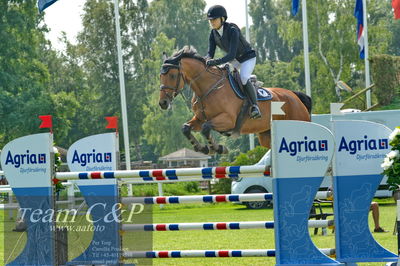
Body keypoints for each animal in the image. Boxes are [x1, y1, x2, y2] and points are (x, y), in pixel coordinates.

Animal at [158, 45, 310, 154]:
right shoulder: (200, 119)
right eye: (160, 76)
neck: (208, 88)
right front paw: (203, 148)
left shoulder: (227, 120)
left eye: (172, 75)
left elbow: (206, 128)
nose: (163, 103)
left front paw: (218, 148)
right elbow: (186, 128)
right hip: (266, 136)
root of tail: (295, 96)